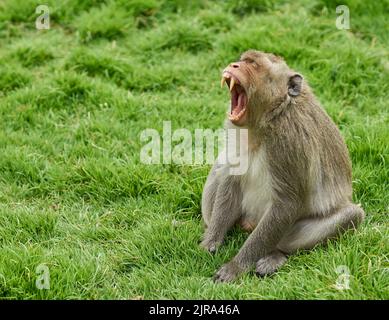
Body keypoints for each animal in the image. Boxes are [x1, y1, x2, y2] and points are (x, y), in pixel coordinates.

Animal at [200, 49, 364, 282]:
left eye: (254, 65)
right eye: (242, 60)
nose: (234, 65)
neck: (267, 120)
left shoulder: (289, 142)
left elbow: (287, 204)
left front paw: (236, 266)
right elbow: (232, 177)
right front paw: (211, 241)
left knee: (351, 215)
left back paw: (276, 255)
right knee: (220, 165)